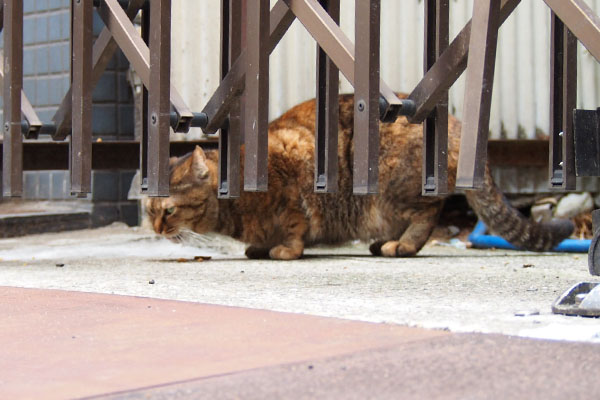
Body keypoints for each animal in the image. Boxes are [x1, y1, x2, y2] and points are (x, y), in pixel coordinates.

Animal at [144, 95, 572, 260]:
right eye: (149, 210)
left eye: (168, 210)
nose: (155, 229)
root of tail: (456, 126)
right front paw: (260, 246)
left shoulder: (292, 181)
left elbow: (295, 228)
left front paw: (284, 248)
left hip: (394, 185)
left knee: (429, 213)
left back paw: (402, 244)